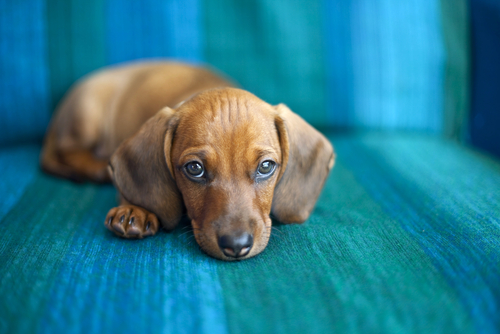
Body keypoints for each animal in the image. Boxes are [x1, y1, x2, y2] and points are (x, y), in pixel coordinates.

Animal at [41, 60, 334, 260]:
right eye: (195, 168)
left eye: (266, 167)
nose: (236, 246)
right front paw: (135, 208)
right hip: (87, 114)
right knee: (68, 149)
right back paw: (97, 169)